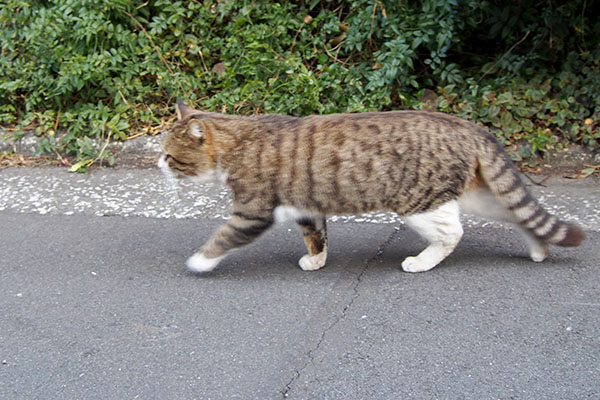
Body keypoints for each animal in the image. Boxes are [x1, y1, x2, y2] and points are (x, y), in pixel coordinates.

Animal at [157, 101, 584, 274]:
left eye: (170, 155)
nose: (158, 162)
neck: (240, 138)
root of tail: (467, 124)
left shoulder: (253, 209)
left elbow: (223, 236)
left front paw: (199, 261)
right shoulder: (305, 206)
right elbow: (316, 235)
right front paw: (316, 260)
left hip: (420, 202)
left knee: (453, 234)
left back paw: (421, 262)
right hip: (477, 194)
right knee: (518, 214)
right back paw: (539, 247)